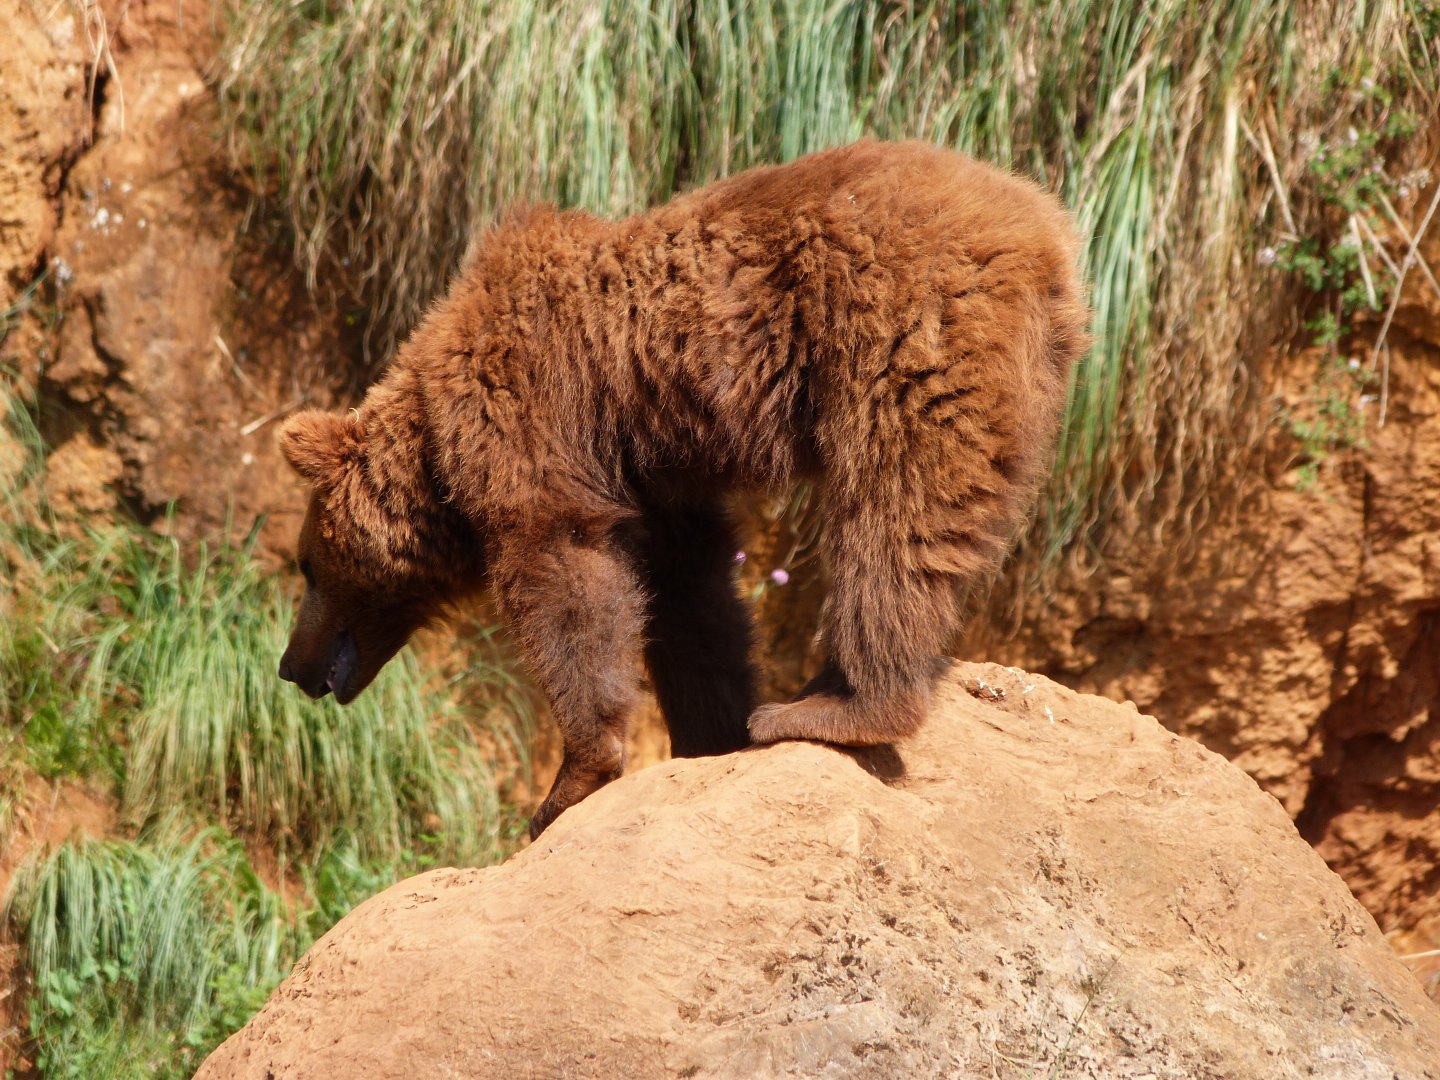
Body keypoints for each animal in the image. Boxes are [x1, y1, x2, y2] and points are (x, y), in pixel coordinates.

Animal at [277, 139, 1089, 839]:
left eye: (307, 566)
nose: (291, 666)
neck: (434, 442)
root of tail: (1044, 223)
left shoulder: (535, 415)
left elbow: (564, 569)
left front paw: (568, 783)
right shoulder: (650, 475)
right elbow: (692, 600)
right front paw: (709, 732)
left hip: (902, 333)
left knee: (895, 512)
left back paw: (835, 707)